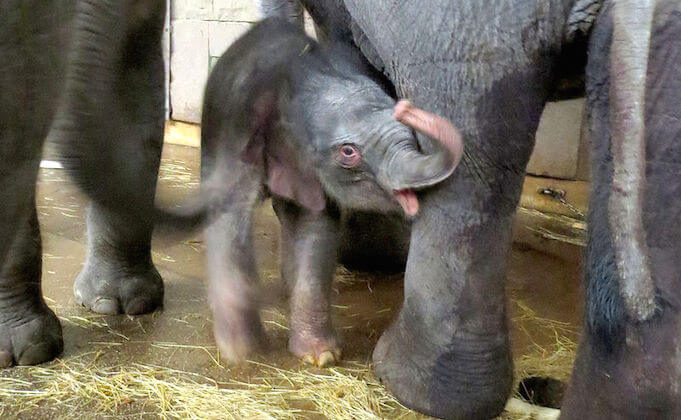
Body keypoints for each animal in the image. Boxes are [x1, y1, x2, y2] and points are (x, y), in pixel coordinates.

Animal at [199, 18, 460, 366]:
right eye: (348, 152)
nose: (407, 107)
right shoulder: (236, 135)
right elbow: (229, 219)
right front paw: (242, 352)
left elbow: (315, 228)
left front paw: (321, 357)